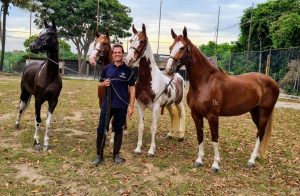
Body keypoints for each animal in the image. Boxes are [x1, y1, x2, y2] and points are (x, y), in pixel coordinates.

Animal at [15, 20, 62, 152]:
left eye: (50, 33)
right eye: (40, 32)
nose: (33, 46)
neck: (49, 75)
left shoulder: (53, 101)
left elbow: (47, 122)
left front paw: (46, 144)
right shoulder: (38, 100)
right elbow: (38, 119)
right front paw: (36, 142)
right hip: (24, 94)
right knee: (20, 108)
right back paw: (17, 124)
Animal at [125, 24, 186, 156]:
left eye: (142, 41)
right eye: (131, 40)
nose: (128, 60)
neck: (148, 80)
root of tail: (177, 75)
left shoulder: (156, 107)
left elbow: (153, 127)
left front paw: (151, 150)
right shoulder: (140, 106)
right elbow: (141, 126)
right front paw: (138, 148)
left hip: (178, 102)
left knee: (181, 114)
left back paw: (181, 136)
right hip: (168, 104)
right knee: (173, 115)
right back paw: (170, 134)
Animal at [165, 26, 280, 172]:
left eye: (182, 48)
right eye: (170, 47)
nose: (169, 69)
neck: (205, 82)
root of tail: (272, 81)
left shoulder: (213, 116)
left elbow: (215, 139)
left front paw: (215, 165)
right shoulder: (196, 115)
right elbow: (200, 136)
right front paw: (199, 160)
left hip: (264, 112)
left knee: (260, 132)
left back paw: (251, 160)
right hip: (255, 112)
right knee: (261, 132)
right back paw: (257, 156)